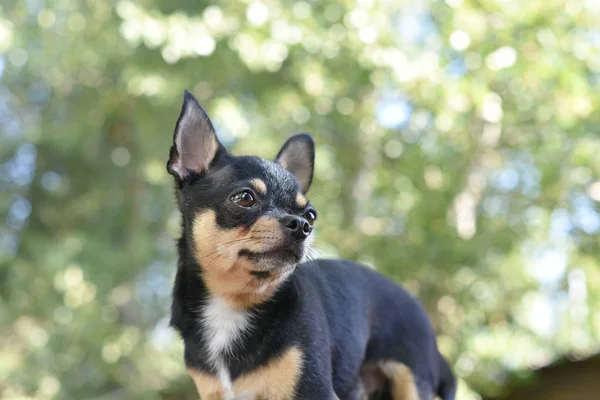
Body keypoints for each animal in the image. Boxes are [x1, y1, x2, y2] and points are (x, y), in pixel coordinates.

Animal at [165, 91, 454, 400]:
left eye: (311, 215)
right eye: (244, 198)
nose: (301, 225)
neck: (233, 303)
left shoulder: (314, 390)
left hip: (411, 383)